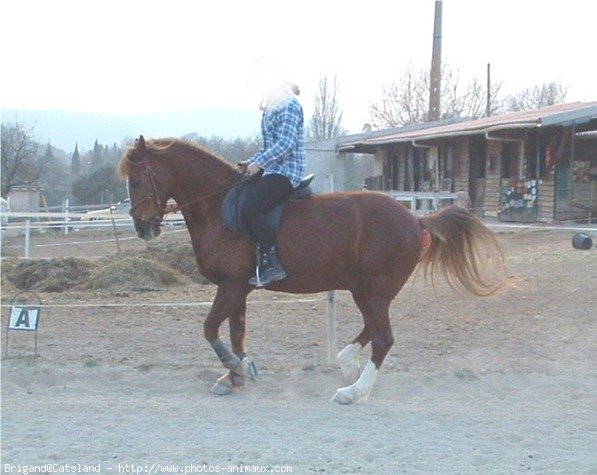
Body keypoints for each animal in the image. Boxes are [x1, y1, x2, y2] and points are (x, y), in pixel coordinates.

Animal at [120, 137, 502, 406]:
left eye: (136, 180)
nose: (142, 228)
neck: (219, 207)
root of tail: (416, 219)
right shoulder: (238, 288)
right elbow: (236, 332)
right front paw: (234, 376)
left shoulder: (231, 286)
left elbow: (210, 328)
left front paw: (236, 369)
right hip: (373, 290)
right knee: (373, 329)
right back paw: (347, 362)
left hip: (373, 290)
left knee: (383, 338)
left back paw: (354, 392)